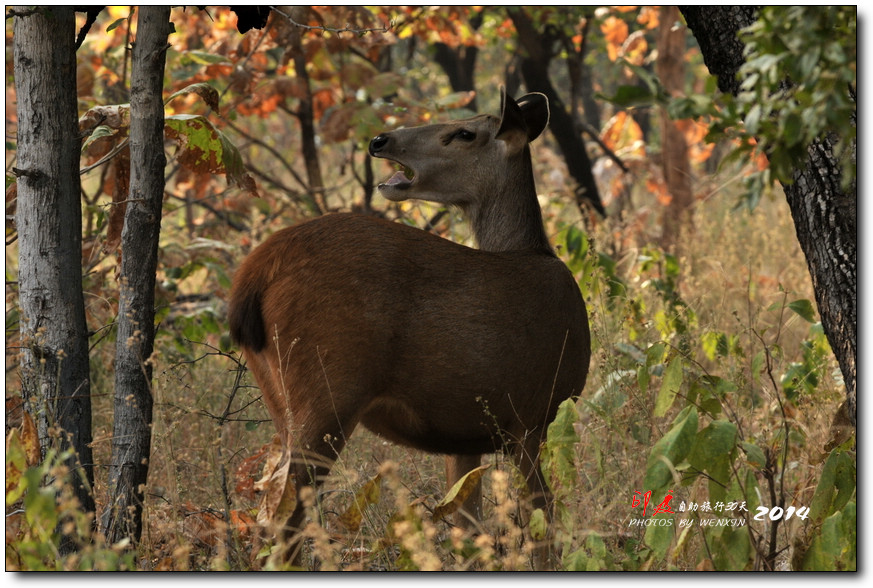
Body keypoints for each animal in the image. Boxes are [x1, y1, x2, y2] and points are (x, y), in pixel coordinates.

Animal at [228, 89, 588, 568]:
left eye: (465, 132)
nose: (380, 139)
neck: (532, 252)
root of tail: (254, 272)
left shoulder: (468, 434)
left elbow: (469, 529)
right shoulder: (531, 414)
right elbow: (541, 524)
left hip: (278, 395)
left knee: (267, 509)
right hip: (328, 390)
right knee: (283, 516)